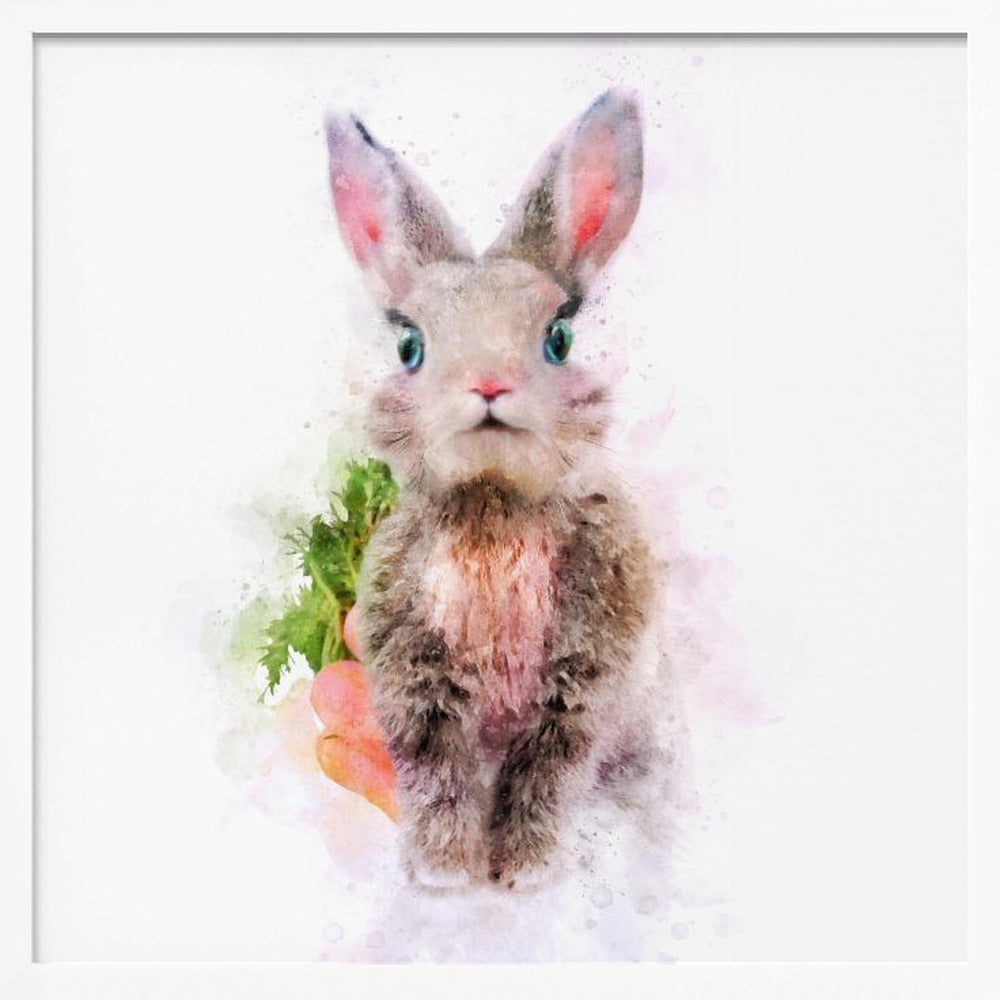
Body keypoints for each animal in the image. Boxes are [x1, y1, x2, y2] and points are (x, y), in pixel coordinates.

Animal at [324, 90, 658, 890]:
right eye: (410, 347)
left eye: (558, 339)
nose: (487, 384)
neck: (493, 507)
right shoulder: (416, 682)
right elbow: (438, 779)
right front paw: (447, 875)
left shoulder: (582, 686)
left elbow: (546, 776)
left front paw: (524, 875)